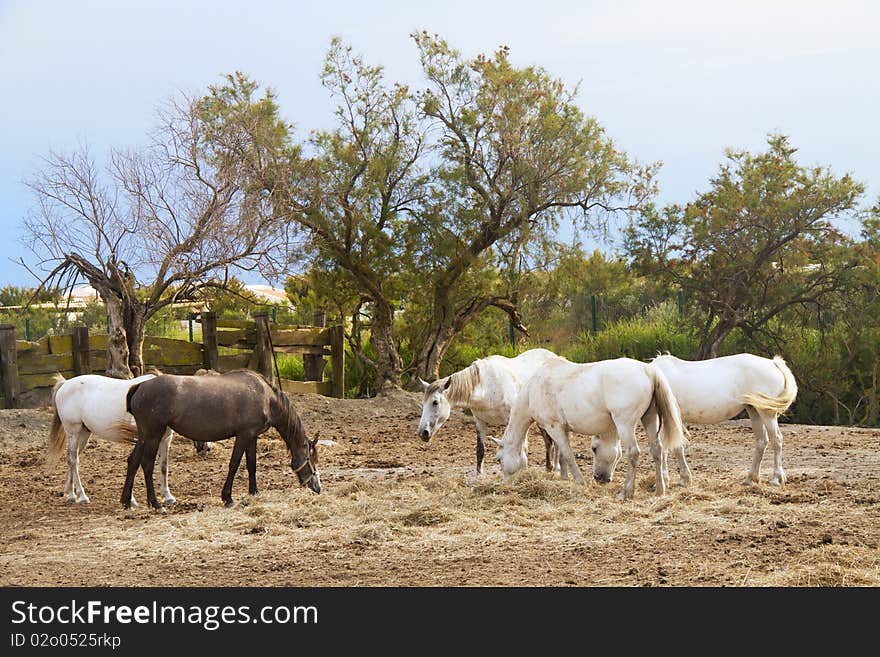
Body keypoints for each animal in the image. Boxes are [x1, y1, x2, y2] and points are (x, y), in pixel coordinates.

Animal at [117, 368, 320, 508]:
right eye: (311, 459)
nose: (317, 488)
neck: (266, 397)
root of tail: (140, 386)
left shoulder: (252, 437)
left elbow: (252, 465)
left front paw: (254, 492)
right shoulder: (244, 435)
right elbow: (234, 465)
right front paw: (228, 497)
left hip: (144, 435)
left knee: (133, 461)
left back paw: (127, 501)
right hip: (153, 434)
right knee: (147, 464)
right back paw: (155, 503)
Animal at [418, 346, 556, 474]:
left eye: (435, 402)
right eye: (423, 403)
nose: (422, 433)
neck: (486, 387)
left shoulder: (513, 420)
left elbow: (520, 448)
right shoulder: (479, 421)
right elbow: (480, 450)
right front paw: (479, 476)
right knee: (548, 440)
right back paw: (549, 468)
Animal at [492, 356, 692, 500]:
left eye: (499, 459)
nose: (506, 484)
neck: (533, 389)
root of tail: (648, 370)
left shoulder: (554, 427)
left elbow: (568, 455)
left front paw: (579, 482)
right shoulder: (563, 429)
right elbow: (562, 455)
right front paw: (564, 478)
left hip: (625, 424)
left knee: (634, 453)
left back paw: (625, 492)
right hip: (650, 419)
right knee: (657, 450)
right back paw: (659, 489)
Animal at [648, 354, 796, 486]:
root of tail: (773, 363)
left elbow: (674, 447)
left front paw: (683, 480)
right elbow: (666, 447)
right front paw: (665, 480)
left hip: (766, 413)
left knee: (776, 440)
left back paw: (776, 479)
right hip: (754, 410)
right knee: (761, 442)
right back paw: (750, 478)